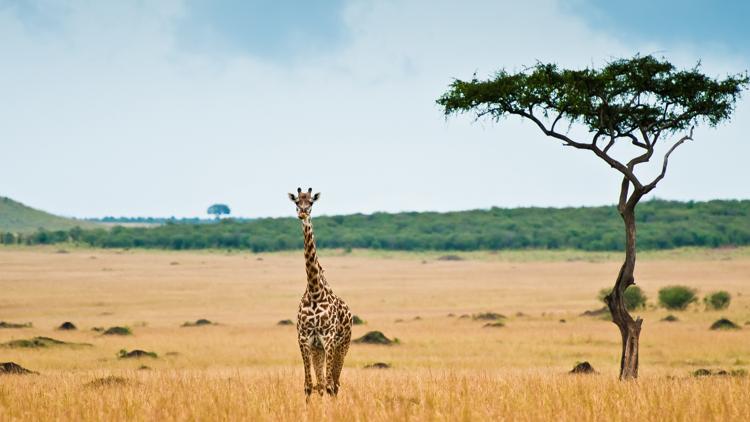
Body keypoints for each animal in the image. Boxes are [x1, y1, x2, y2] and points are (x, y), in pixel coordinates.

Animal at [290, 188, 356, 398]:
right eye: (296, 202)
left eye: (311, 202)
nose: (302, 213)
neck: (314, 291)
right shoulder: (305, 339)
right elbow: (309, 385)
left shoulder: (328, 339)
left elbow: (328, 385)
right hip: (318, 350)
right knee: (321, 384)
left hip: (343, 345)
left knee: (334, 384)